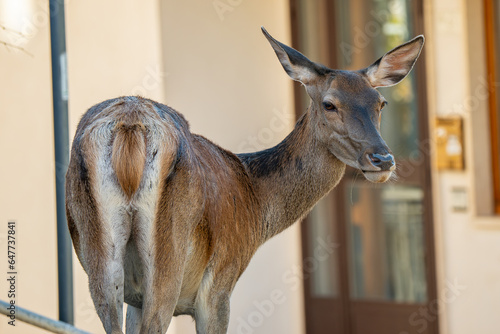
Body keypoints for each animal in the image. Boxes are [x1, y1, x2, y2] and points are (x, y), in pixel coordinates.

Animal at [65, 27, 426, 332]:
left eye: (381, 103)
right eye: (329, 104)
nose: (382, 159)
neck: (256, 201)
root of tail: (130, 123)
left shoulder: (135, 298)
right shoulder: (219, 284)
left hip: (102, 264)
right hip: (169, 259)